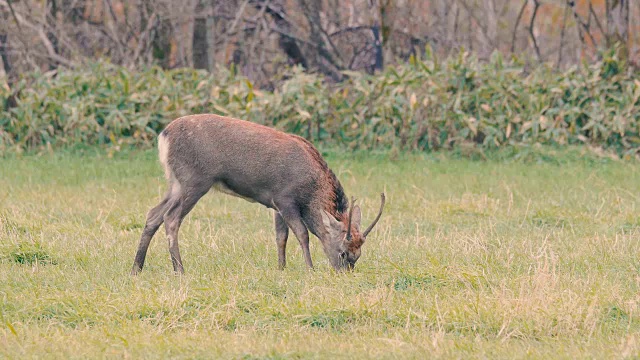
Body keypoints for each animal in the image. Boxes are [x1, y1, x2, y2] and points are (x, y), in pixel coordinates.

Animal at [130, 114, 384, 274]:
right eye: (343, 253)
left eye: (358, 255)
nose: (344, 274)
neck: (309, 191)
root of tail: (163, 136)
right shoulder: (285, 197)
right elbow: (302, 234)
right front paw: (309, 269)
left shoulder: (276, 203)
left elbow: (281, 237)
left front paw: (281, 268)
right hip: (194, 180)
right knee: (171, 218)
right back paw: (180, 269)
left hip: (176, 183)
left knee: (153, 214)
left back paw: (136, 268)